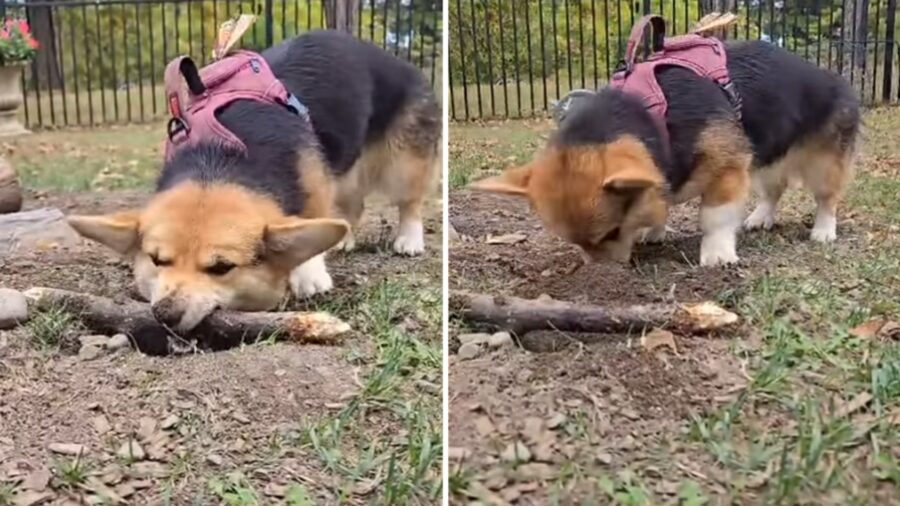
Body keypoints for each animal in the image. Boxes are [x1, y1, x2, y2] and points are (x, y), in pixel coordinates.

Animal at [67, 31, 440, 332]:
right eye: (157, 260)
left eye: (222, 267)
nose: (165, 313)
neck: (220, 157)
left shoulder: (314, 183)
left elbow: (311, 219)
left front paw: (309, 273)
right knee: (353, 205)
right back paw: (343, 240)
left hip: (402, 163)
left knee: (409, 202)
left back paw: (408, 239)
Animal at [472, 39, 856, 266]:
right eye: (575, 243)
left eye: (612, 232)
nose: (602, 279)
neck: (654, 111)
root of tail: (828, 75)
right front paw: (654, 230)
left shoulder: (728, 168)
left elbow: (715, 217)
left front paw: (717, 255)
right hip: (764, 161)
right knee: (773, 190)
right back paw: (761, 217)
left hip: (822, 162)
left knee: (826, 198)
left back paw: (823, 231)